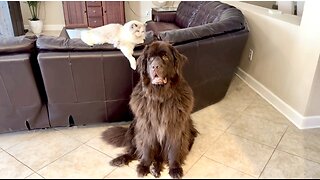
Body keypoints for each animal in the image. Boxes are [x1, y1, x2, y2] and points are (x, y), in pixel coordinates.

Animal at [104, 41, 198, 179]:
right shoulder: (147, 128)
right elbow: (146, 149)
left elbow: (174, 149)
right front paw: (143, 166)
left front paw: (175, 168)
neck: (160, 97)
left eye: (165, 57)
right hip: (134, 127)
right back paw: (121, 160)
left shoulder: (176, 128)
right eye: (150, 59)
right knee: (134, 151)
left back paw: (155, 168)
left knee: (160, 157)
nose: (155, 66)